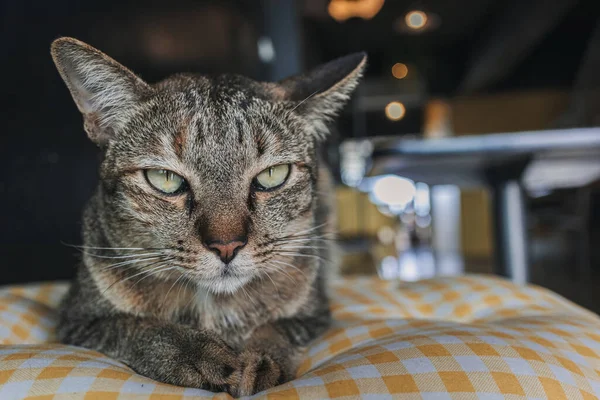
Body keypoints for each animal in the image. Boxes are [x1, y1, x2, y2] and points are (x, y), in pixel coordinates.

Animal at [50, 37, 366, 396]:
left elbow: (276, 328)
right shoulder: (78, 319)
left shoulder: (313, 313)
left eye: (273, 175)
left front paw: (264, 361)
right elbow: (139, 328)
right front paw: (196, 353)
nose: (227, 246)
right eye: (165, 179)